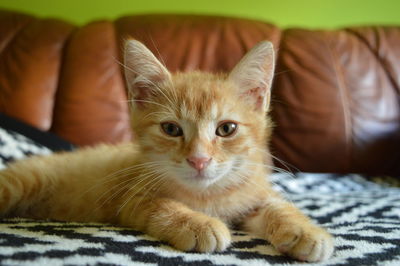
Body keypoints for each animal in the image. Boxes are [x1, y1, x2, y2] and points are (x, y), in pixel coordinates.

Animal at [0, 40, 334, 262]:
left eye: (226, 129)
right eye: (171, 129)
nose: (199, 159)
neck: (208, 196)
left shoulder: (249, 193)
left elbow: (276, 205)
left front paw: (305, 230)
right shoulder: (132, 199)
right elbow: (163, 206)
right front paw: (199, 224)